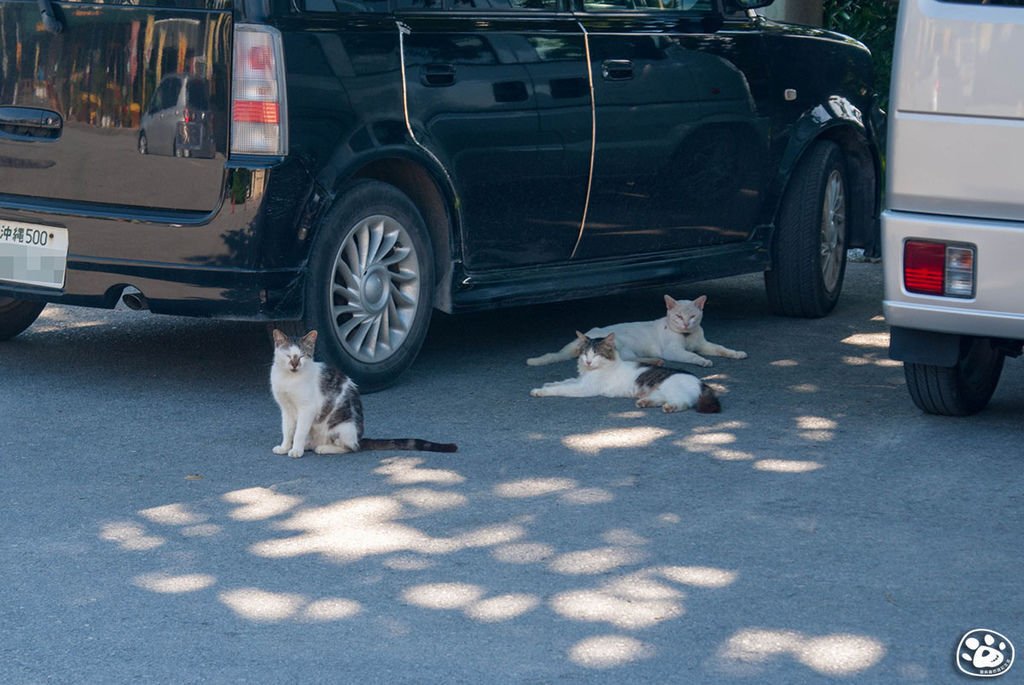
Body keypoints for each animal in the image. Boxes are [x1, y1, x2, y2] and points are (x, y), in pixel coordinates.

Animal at [270, 327, 454, 456]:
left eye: (302, 356)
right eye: (288, 356)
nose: (295, 364)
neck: (289, 379)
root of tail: (359, 437)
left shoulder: (307, 409)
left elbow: (299, 431)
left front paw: (296, 449)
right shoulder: (286, 409)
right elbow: (287, 430)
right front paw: (285, 447)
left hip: (342, 428)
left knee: (350, 447)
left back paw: (323, 448)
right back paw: (309, 445)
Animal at [528, 294, 745, 368]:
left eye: (692, 316)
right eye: (678, 316)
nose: (685, 324)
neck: (687, 337)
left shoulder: (704, 344)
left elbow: (721, 348)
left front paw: (736, 353)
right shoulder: (673, 351)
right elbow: (691, 356)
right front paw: (702, 361)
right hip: (623, 346)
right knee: (627, 360)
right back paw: (656, 361)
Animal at [528, 329, 720, 411]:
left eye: (596, 354)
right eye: (585, 353)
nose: (588, 362)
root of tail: (701, 382)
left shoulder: (584, 388)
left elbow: (562, 388)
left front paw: (540, 391)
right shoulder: (580, 380)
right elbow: (564, 381)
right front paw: (548, 384)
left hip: (672, 389)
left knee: (683, 402)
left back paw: (670, 407)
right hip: (659, 391)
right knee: (660, 399)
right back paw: (645, 402)